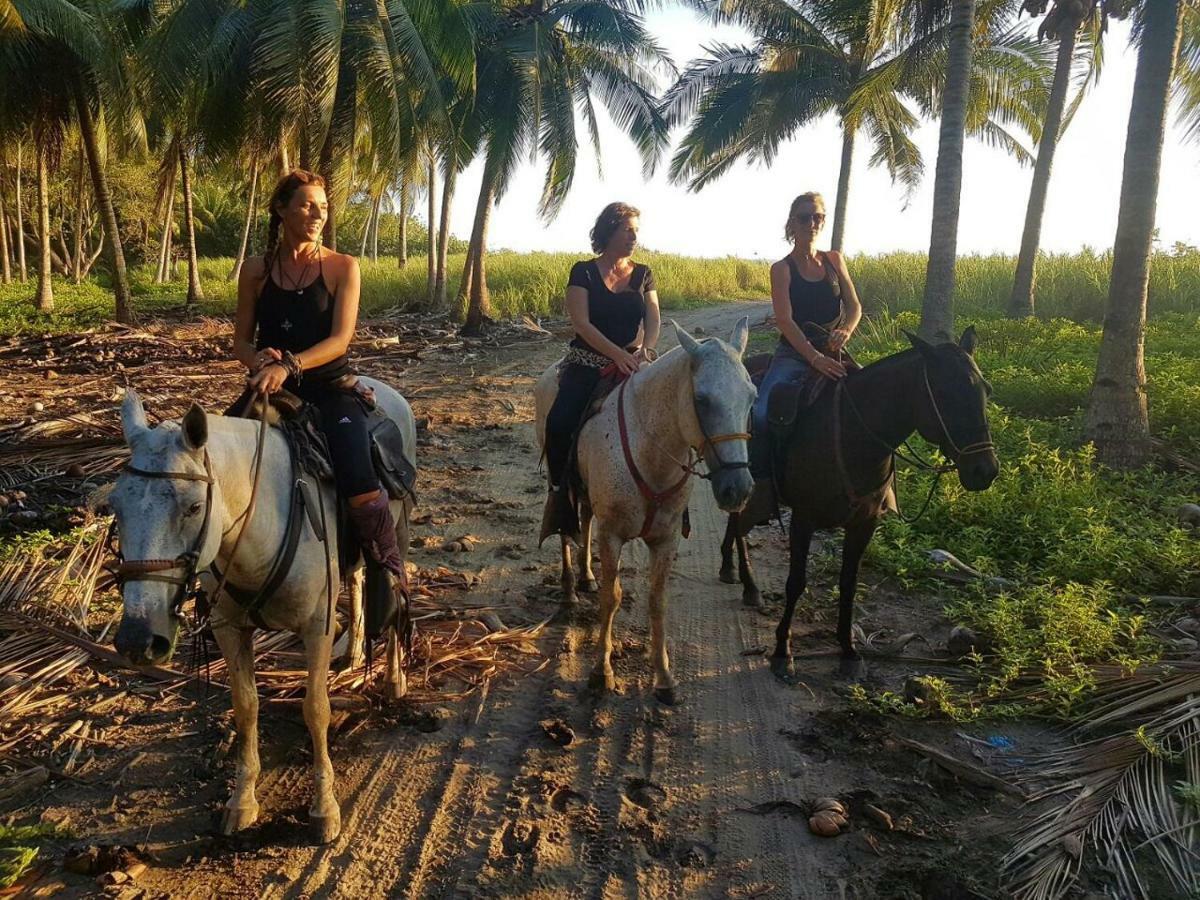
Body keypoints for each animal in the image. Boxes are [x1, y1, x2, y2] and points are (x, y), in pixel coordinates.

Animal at [109, 381, 417, 844]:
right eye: (116, 506)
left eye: (193, 507)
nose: (138, 640)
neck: (261, 523)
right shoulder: (228, 628)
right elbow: (245, 707)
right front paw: (242, 801)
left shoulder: (315, 627)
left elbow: (316, 709)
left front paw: (324, 808)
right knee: (359, 577)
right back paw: (354, 653)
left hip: (397, 529)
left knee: (394, 587)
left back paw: (395, 677)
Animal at [537, 321, 753, 710]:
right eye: (702, 399)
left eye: (752, 397)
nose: (738, 488)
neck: (651, 449)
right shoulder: (612, 535)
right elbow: (612, 598)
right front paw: (601, 672)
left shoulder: (665, 540)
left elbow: (657, 602)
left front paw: (664, 679)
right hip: (557, 478)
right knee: (564, 528)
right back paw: (569, 590)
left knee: (585, 519)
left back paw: (586, 577)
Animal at [724, 328, 998, 676]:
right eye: (945, 393)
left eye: (986, 390)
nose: (985, 470)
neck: (854, 435)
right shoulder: (804, 518)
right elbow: (795, 582)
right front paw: (782, 651)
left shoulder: (864, 523)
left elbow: (849, 584)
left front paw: (849, 650)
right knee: (736, 522)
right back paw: (748, 584)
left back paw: (730, 569)